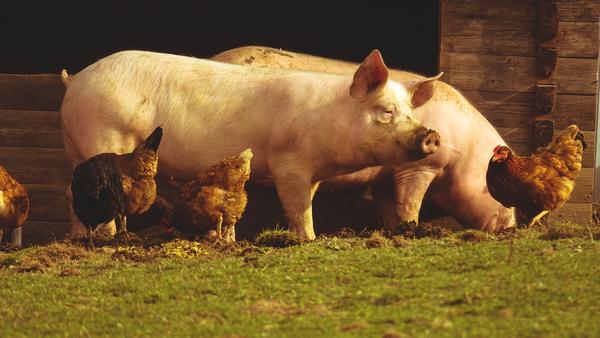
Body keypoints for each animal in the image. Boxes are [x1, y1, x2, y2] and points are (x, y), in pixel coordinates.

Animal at [62, 49, 440, 240]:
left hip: (75, 147)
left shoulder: (312, 174)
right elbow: (298, 208)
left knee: (70, 193)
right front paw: (308, 239)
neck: (327, 119)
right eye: (387, 111)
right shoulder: (290, 164)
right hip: (104, 135)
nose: (431, 135)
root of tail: (76, 79)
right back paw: (108, 239)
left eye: (409, 111)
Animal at [212, 46, 516, 232]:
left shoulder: (384, 175)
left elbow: (389, 205)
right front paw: (411, 228)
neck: (463, 149)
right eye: (493, 188)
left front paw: (393, 230)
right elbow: (410, 201)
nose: (511, 227)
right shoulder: (419, 166)